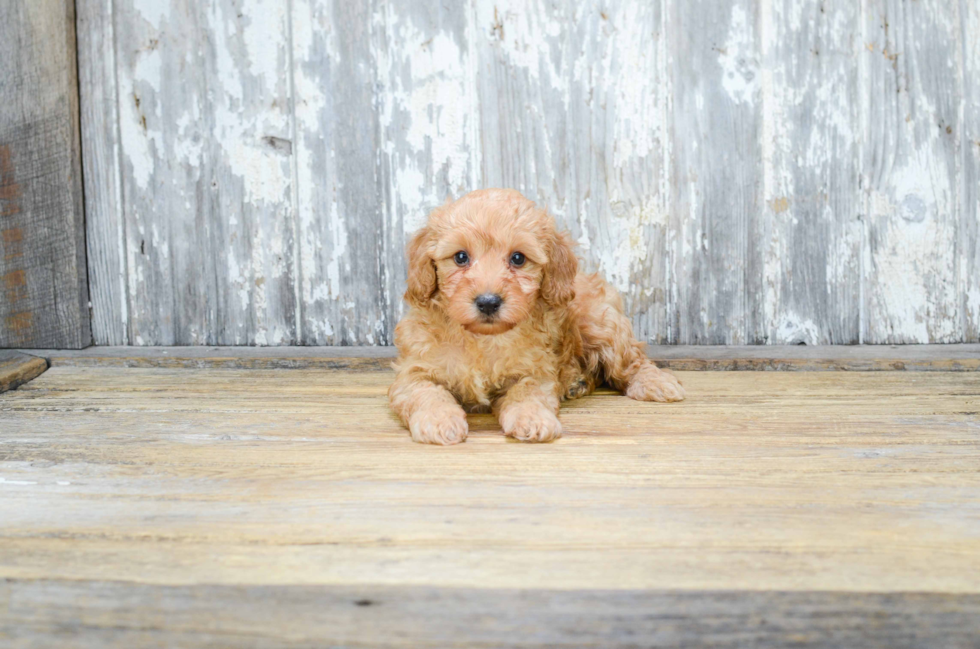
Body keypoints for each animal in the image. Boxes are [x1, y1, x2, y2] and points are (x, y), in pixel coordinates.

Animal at [386, 186, 684, 440]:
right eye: (461, 257)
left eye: (518, 258)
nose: (488, 302)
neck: (483, 339)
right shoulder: (413, 371)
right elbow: (426, 393)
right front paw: (439, 422)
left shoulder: (536, 371)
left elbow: (526, 392)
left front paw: (532, 419)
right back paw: (578, 382)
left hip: (601, 324)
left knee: (631, 361)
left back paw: (656, 383)